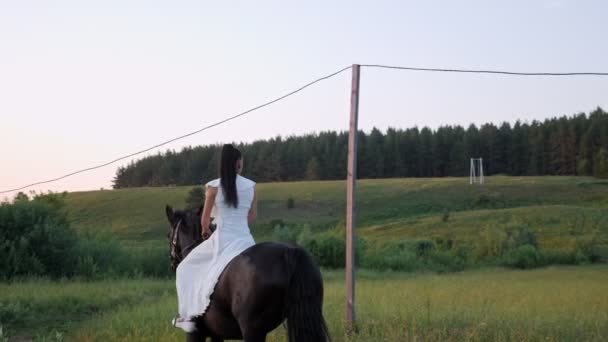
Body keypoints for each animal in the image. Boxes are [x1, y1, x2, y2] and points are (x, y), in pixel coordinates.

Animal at [164, 206, 330, 342]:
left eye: (168, 235)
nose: (172, 264)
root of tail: (290, 251)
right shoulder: (217, 334)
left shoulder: (195, 333)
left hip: (252, 329)